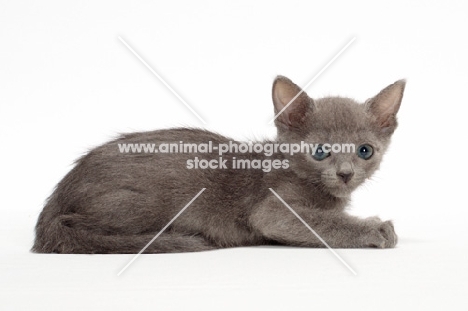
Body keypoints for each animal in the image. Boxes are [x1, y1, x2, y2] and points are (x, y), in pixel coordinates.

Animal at [33, 75, 406, 254]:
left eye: (365, 151)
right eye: (319, 151)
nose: (345, 173)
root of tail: (54, 202)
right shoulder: (272, 209)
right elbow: (320, 222)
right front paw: (377, 230)